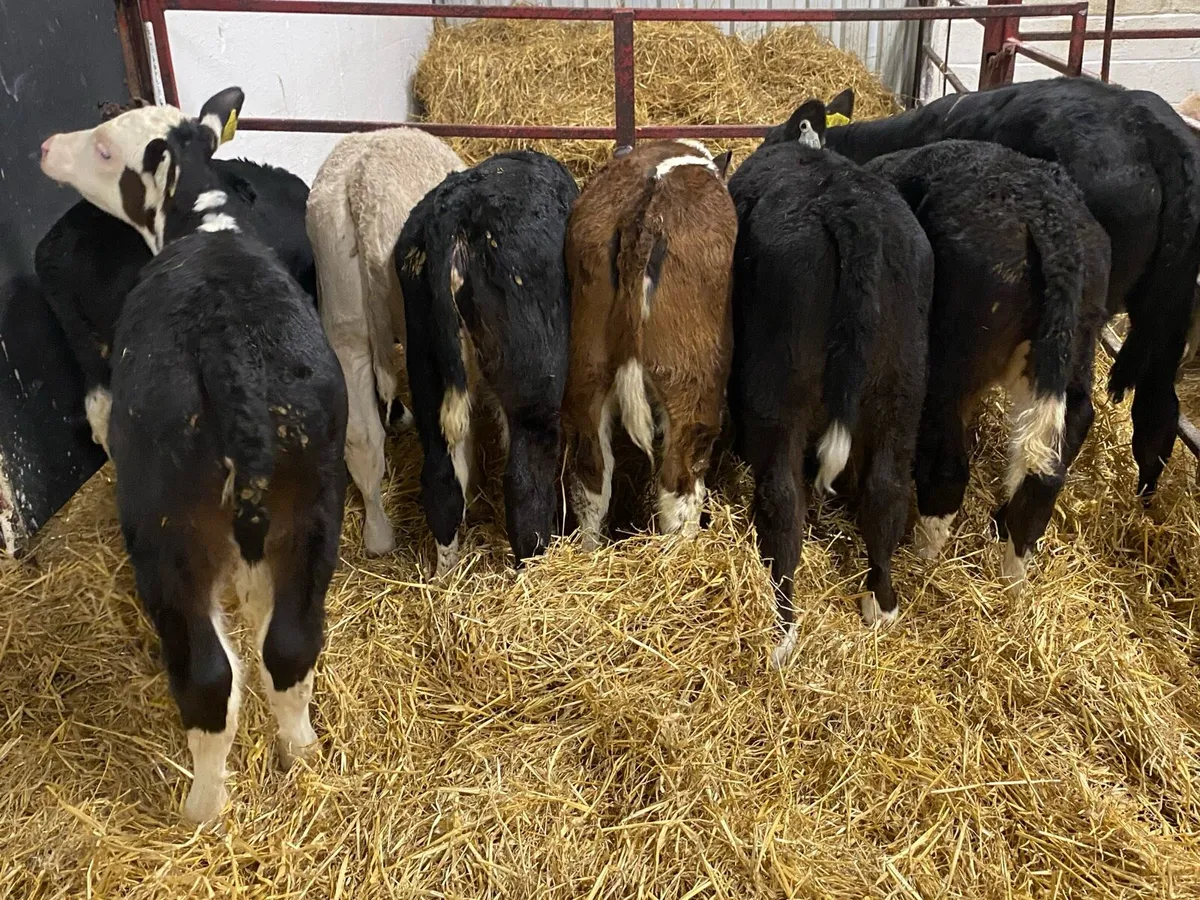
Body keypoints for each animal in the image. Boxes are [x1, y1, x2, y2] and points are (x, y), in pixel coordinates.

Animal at [395, 150, 578, 575]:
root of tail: (454, 211)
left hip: (426, 367)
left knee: (441, 478)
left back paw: (446, 577)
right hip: (535, 388)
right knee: (524, 481)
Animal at [563, 139, 736, 547]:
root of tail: (642, 218)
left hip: (588, 371)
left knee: (591, 472)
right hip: (691, 381)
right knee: (679, 475)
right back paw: (682, 548)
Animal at [728, 97, 933, 667]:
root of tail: (848, 207)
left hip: (776, 393)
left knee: (782, 497)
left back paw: (782, 627)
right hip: (903, 385)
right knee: (887, 489)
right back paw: (881, 603)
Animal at [857, 140, 1111, 584]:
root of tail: (1053, 221)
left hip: (951, 365)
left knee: (949, 466)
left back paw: (925, 551)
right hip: (1076, 353)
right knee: (1055, 457)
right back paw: (1013, 563)